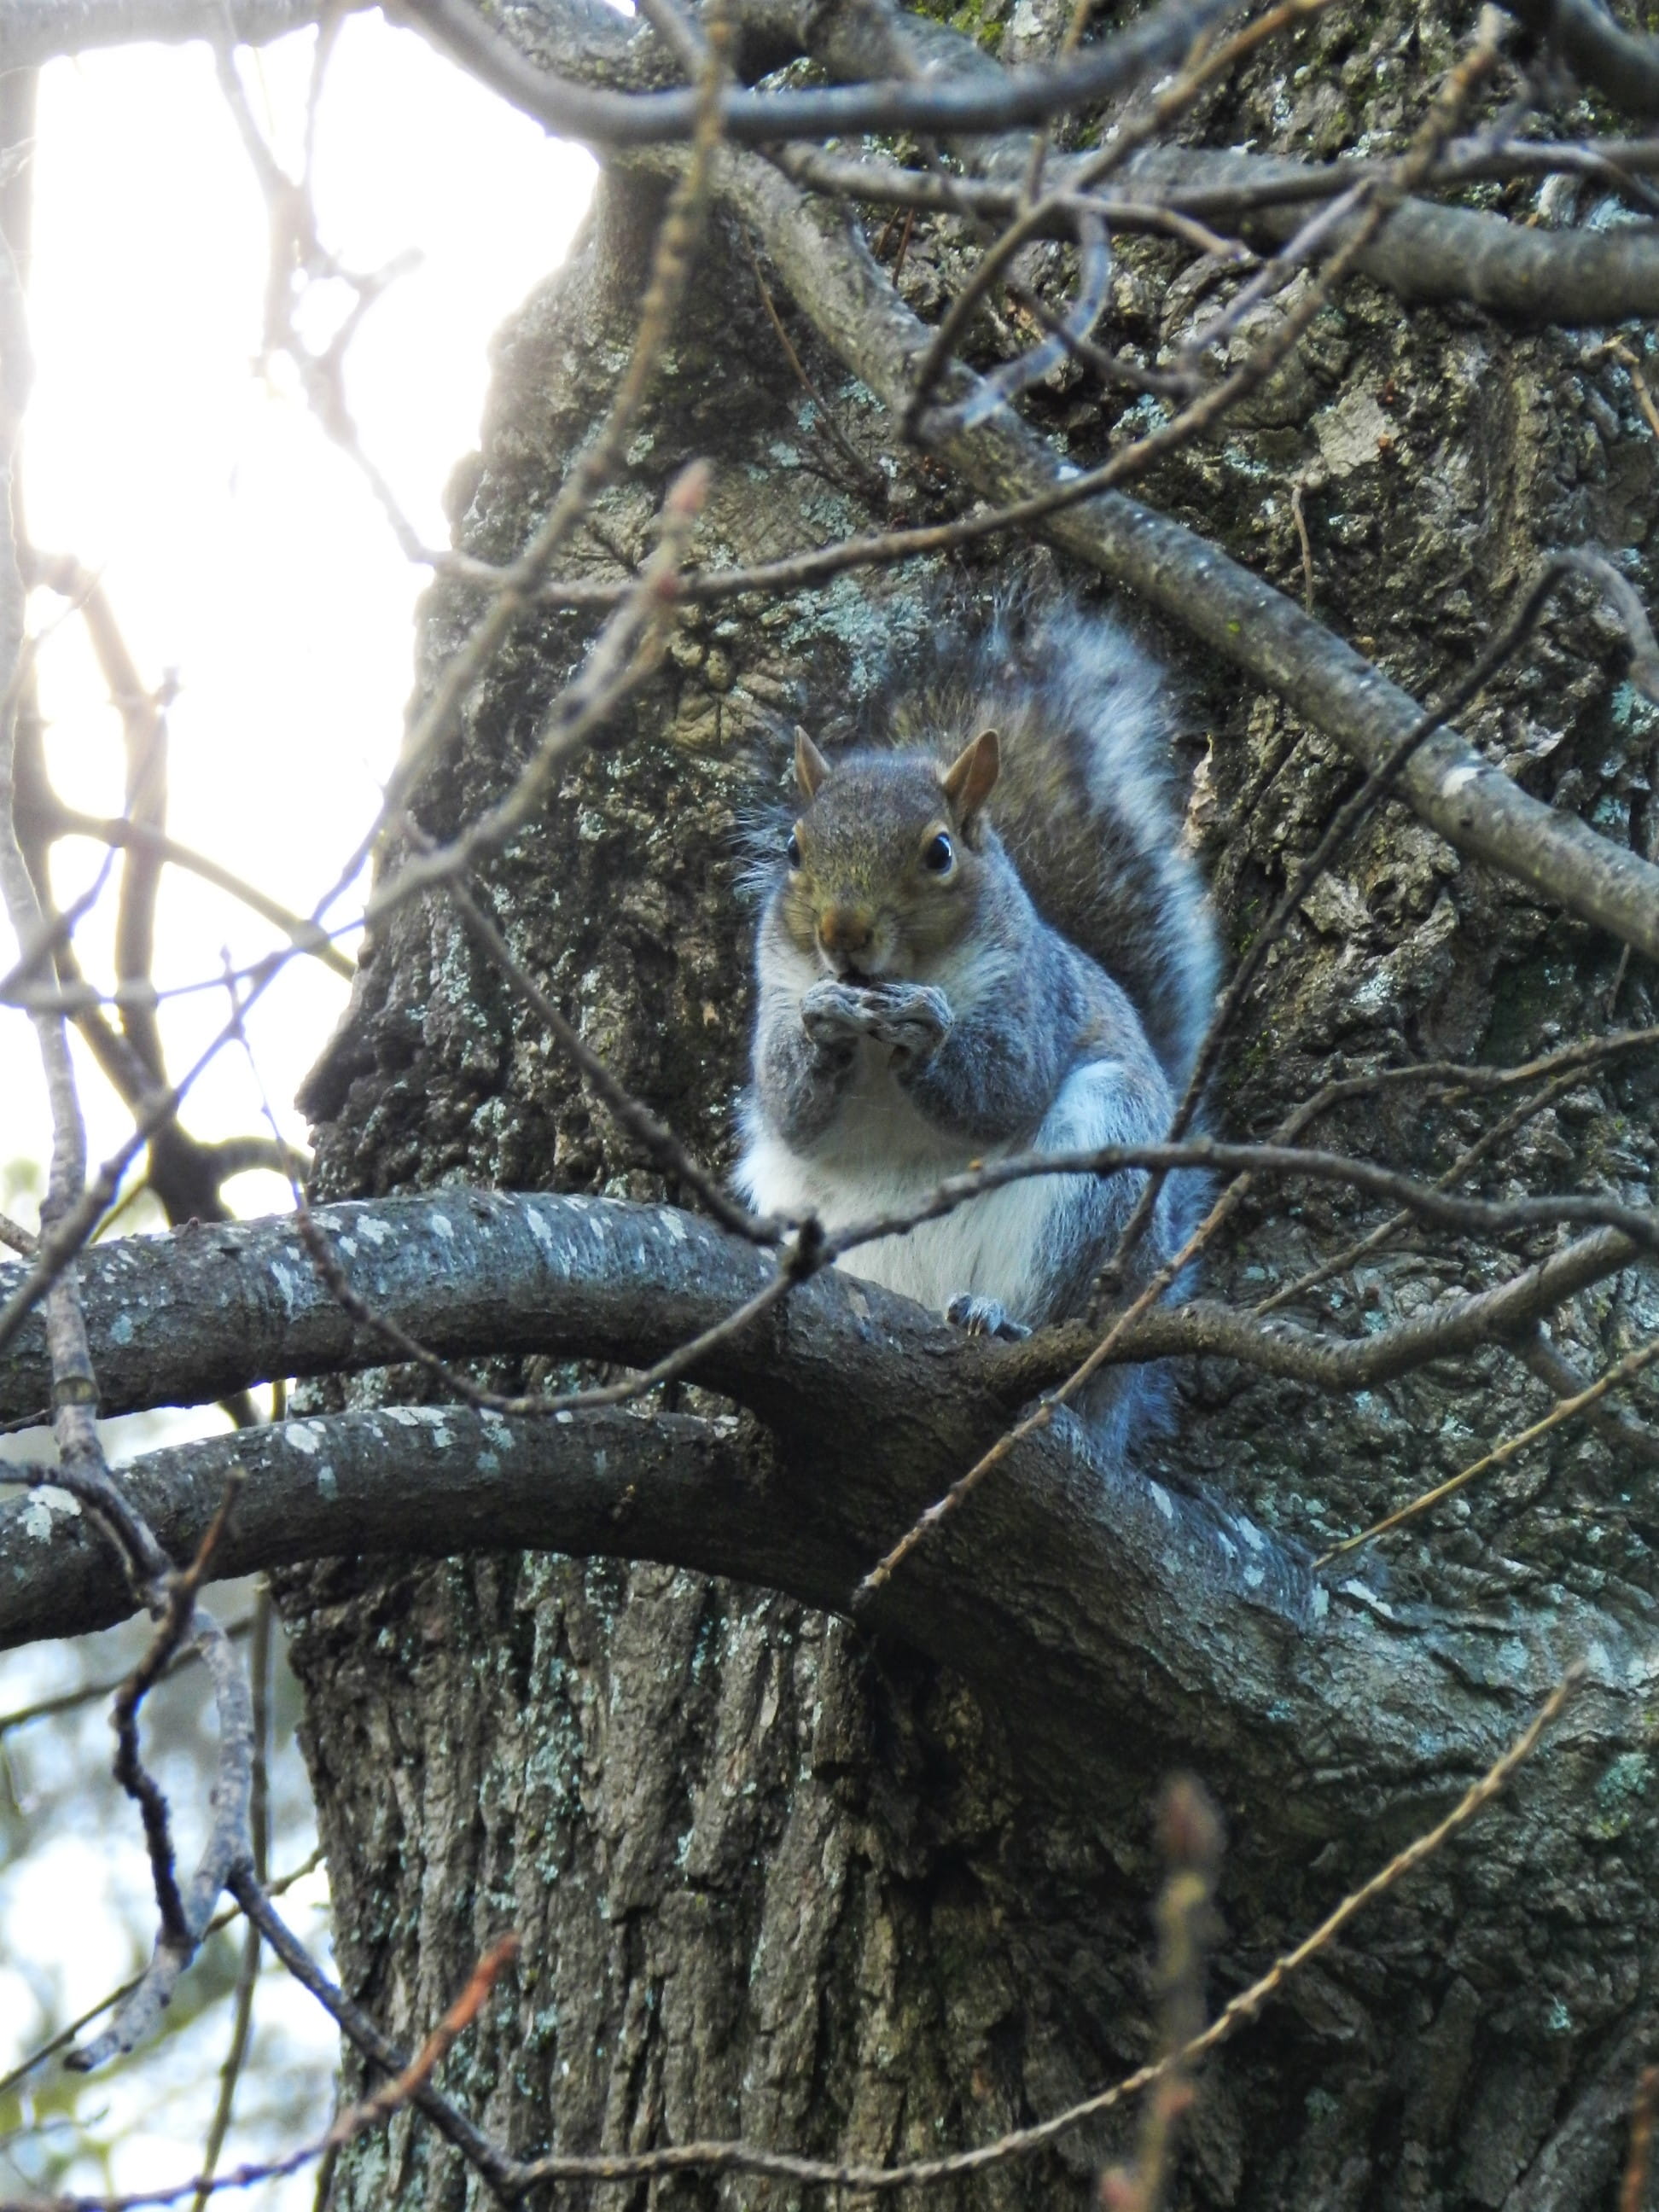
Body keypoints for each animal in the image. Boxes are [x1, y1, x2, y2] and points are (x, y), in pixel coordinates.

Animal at [736, 597, 1220, 1453]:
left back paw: (1006, 1324)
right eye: (793, 848)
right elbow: (790, 1107)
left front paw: (926, 1029)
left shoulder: (1032, 998)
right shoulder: (777, 990)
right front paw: (825, 1027)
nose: (842, 933)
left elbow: (1004, 1088)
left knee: (1058, 1306)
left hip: (1100, 1165)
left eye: (939, 852)